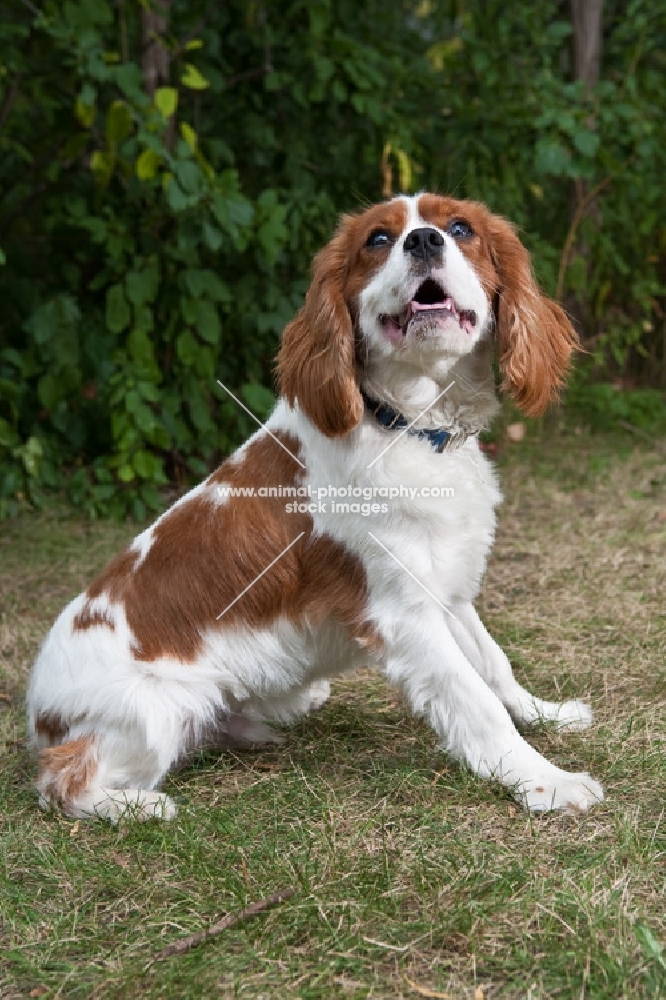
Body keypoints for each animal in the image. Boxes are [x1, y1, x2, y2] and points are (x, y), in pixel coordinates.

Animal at [27, 195, 600, 820]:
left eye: (460, 228)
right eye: (378, 240)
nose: (424, 240)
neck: (409, 424)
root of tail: (36, 710)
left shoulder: (446, 590)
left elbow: (495, 665)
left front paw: (546, 715)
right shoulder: (405, 614)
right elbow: (476, 702)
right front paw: (546, 782)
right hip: (156, 709)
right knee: (61, 781)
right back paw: (140, 805)